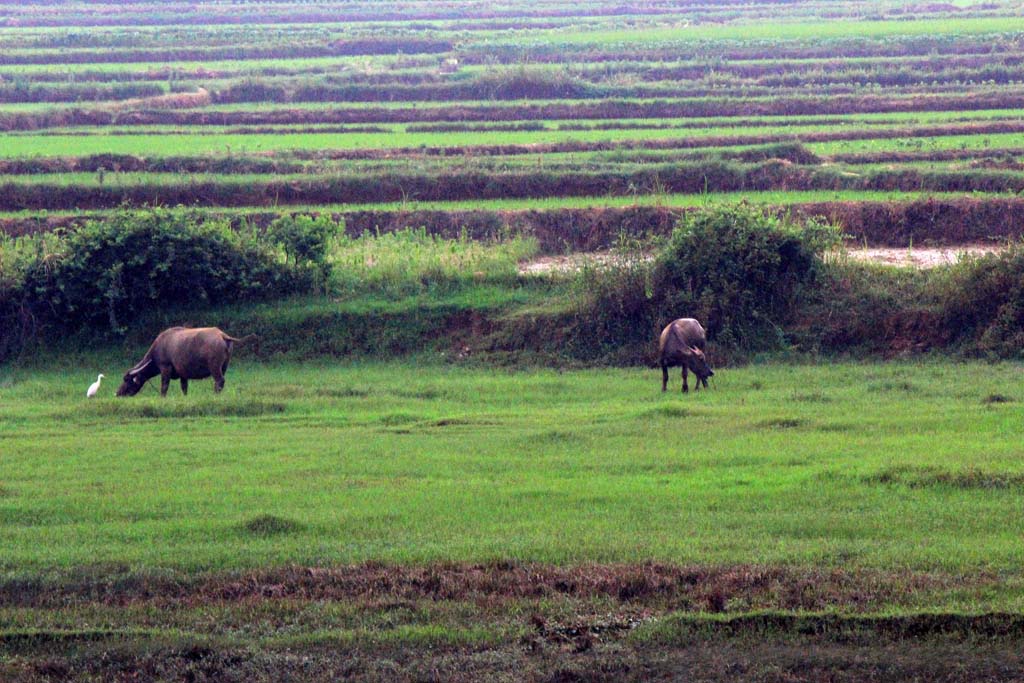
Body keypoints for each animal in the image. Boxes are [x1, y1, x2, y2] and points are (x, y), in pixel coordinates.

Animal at [114, 327, 251, 397]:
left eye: (126, 380)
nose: (117, 393)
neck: (159, 347)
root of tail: (222, 335)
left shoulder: (165, 367)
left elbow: (164, 386)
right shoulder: (183, 374)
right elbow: (184, 388)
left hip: (215, 367)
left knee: (219, 381)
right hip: (224, 366)